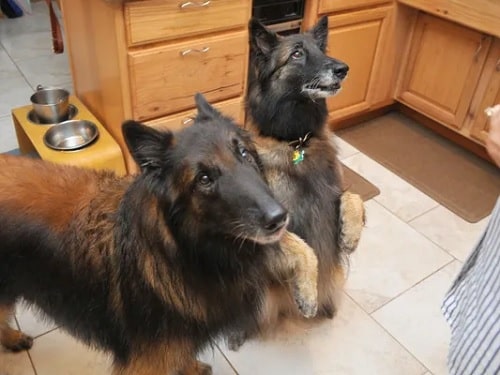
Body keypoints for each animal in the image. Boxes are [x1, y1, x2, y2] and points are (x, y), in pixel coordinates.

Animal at [229, 16, 366, 348]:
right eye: (297, 54)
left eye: (321, 49)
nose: (342, 68)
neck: (296, 142)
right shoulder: (263, 225)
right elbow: (305, 249)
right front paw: (307, 294)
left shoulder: (335, 190)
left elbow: (354, 197)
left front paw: (350, 236)